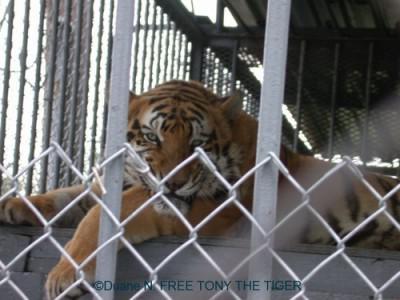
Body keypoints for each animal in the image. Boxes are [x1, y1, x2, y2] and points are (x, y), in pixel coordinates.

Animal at [0, 79, 398, 298]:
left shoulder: (212, 209)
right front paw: (14, 204)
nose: (173, 182)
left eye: (197, 144)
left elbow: (109, 212)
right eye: (152, 138)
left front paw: (65, 276)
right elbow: (65, 198)